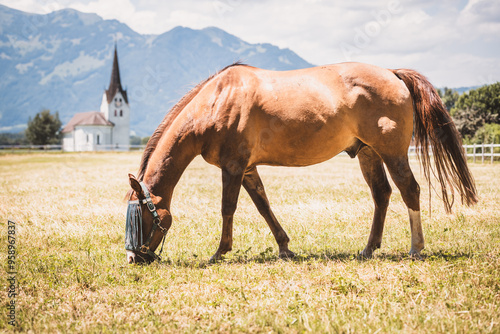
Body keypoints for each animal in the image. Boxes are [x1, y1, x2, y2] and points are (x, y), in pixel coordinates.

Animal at [124, 62, 476, 264]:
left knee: (409, 191)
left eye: (139, 216)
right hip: (368, 154)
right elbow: (264, 206)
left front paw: (219, 252)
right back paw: (368, 249)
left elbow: (228, 208)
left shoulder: (233, 166)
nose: (132, 257)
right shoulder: (248, 168)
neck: (217, 101)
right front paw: (284, 248)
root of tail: (392, 74)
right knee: (382, 195)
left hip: (392, 153)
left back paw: (416, 248)